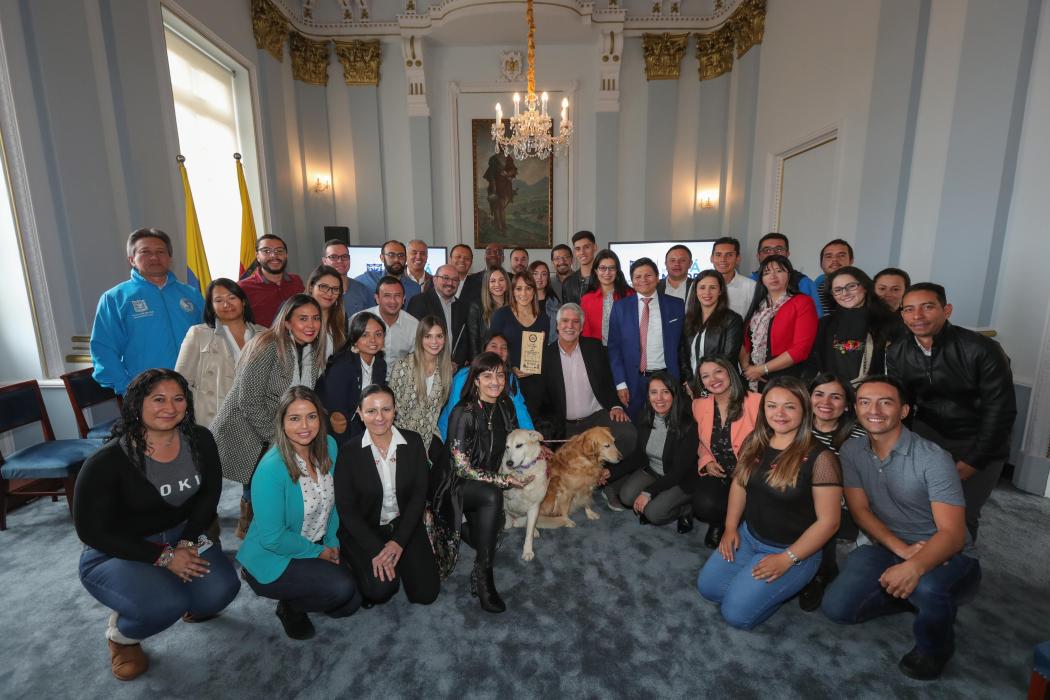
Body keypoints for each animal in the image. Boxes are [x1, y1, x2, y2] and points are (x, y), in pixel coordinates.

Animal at [497, 430, 550, 562]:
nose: (509, 463)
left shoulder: (534, 507)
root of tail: (516, 522)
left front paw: (527, 551)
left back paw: (534, 530)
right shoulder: (507, 494)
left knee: (530, 526)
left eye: (519, 445)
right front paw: (516, 477)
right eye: (507, 447)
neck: (524, 470)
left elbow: (528, 534)